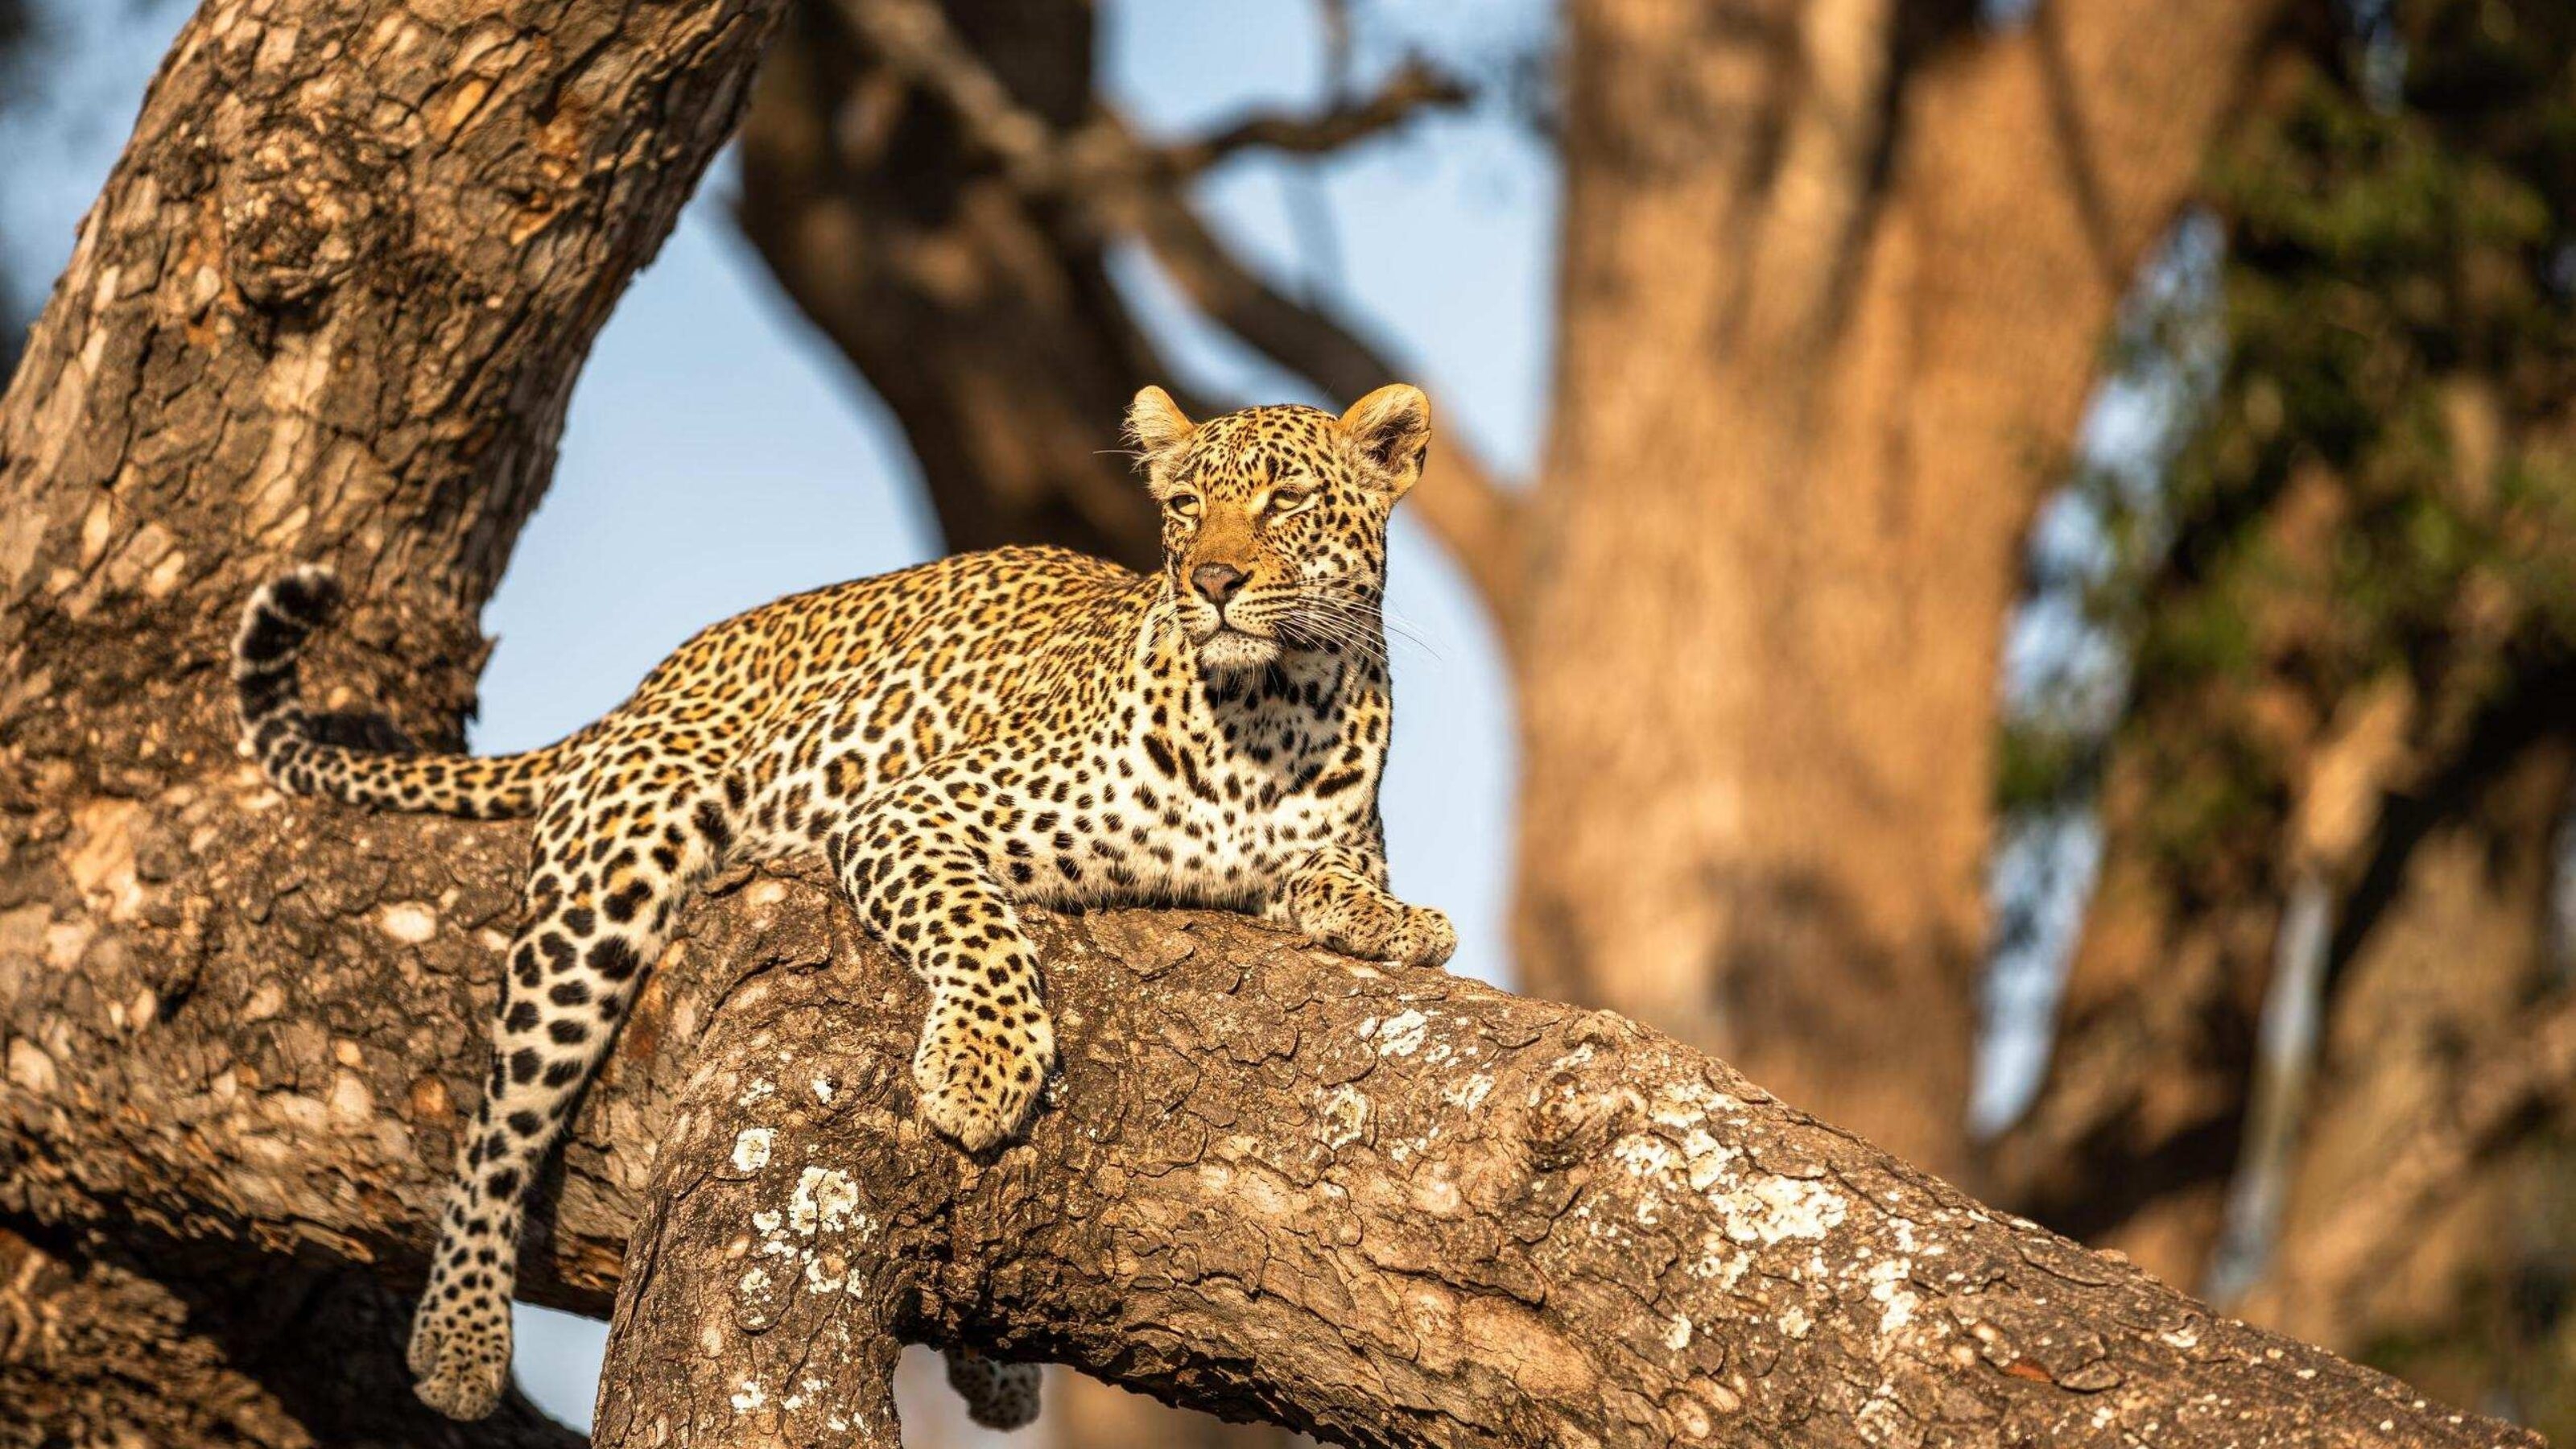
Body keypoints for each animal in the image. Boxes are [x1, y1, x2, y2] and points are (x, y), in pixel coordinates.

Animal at [229, 384, 1456, 1424]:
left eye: (1284, 501)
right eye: (1187, 509)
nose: (1210, 583)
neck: (1269, 715)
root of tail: (648, 687)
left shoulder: (1331, 837)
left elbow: (1340, 880)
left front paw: (1399, 924)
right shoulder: (905, 812)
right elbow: (981, 929)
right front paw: (981, 1067)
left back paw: (996, 1373)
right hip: (614, 875)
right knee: (500, 1122)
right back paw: (460, 1337)